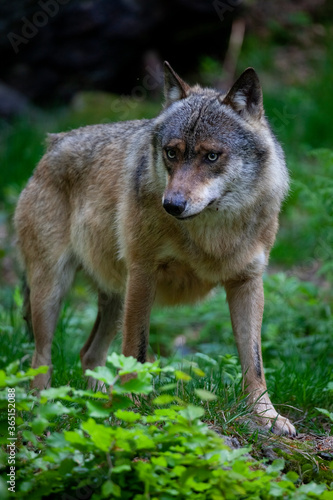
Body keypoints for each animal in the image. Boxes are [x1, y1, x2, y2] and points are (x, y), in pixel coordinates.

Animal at [14, 62, 294, 436]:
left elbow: (255, 360)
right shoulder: (143, 272)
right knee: (41, 358)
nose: (172, 205)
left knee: (89, 354)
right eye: (171, 152)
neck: (212, 233)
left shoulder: (248, 281)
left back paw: (97, 403)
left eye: (211, 156)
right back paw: (45, 408)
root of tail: (52, 143)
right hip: (52, 292)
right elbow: (137, 349)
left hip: (114, 298)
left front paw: (266, 415)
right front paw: (131, 408)